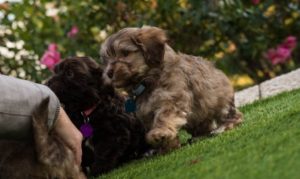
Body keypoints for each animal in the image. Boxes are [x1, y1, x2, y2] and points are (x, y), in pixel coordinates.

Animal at [99, 26, 243, 151]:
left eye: (125, 53)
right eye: (107, 60)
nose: (109, 73)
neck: (147, 81)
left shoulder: (171, 98)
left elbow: (163, 117)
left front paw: (160, 133)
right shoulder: (146, 113)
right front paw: (167, 146)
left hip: (221, 103)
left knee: (234, 116)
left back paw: (223, 127)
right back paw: (198, 136)